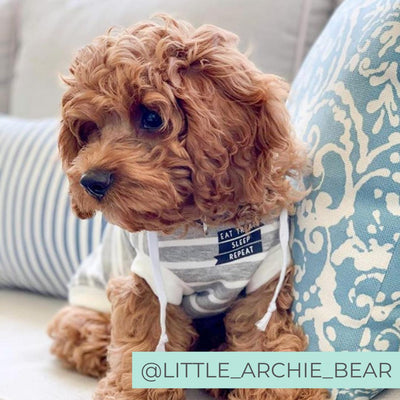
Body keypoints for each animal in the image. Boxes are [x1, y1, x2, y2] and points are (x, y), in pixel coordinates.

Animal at [47, 14, 328, 400]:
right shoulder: (149, 283)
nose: (91, 181)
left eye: (152, 118)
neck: (203, 221)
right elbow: (145, 342)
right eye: (88, 131)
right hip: (85, 307)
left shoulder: (265, 281)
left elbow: (262, 336)